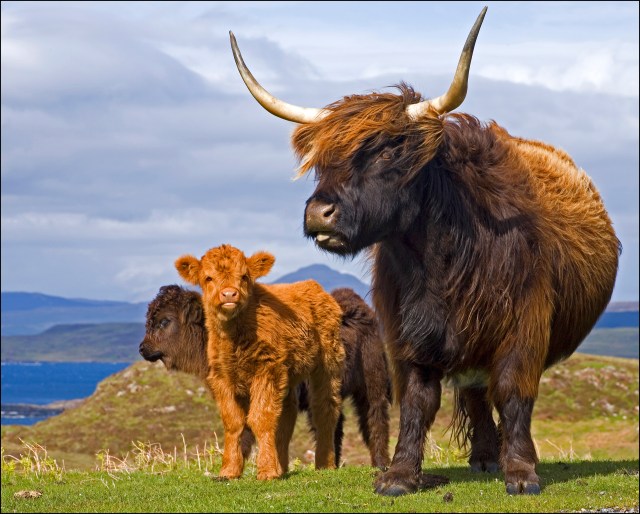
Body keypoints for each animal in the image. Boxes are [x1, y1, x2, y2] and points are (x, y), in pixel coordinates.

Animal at [174, 244, 345, 480]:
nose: (229, 294)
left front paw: (266, 471)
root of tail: (313, 286)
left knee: (325, 410)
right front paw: (229, 470)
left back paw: (324, 464)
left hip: (328, 363)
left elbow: (260, 418)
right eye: (208, 277)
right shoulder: (221, 377)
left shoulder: (267, 370)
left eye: (244, 276)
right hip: (288, 374)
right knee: (286, 417)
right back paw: (282, 467)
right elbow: (234, 422)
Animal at [228, 6, 621, 496]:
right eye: (321, 160)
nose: (319, 213)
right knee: (474, 391)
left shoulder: (523, 325)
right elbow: (417, 400)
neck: (439, 261)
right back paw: (483, 457)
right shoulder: (405, 331)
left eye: (385, 151)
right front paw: (399, 476)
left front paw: (522, 473)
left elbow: (514, 393)